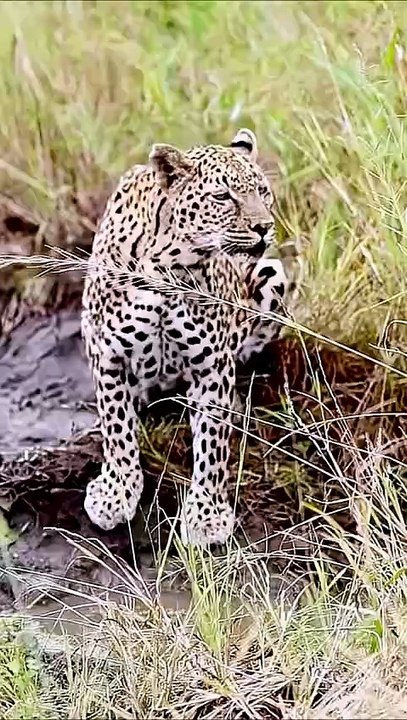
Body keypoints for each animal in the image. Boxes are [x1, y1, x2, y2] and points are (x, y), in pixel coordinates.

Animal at [81, 128, 296, 548]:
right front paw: (116, 492)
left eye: (262, 191)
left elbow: (212, 441)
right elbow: (117, 427)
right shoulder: (107, 352)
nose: (264, 227)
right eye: (222, 196)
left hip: (270, 274)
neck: (172, 266)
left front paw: (207, 514)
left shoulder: (213, 364)